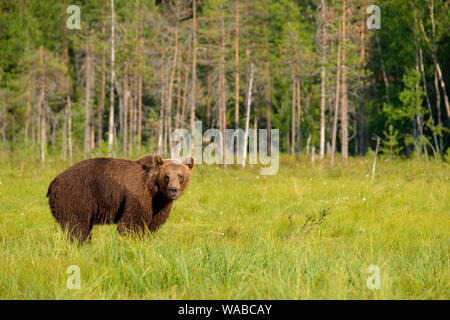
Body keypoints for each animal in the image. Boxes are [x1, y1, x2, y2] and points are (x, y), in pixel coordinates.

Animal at [46, 154, 193, 242]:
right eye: (167, 176)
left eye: (180, 176)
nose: (173, 190)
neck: (155, 192)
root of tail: (53, 181)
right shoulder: (137, 196)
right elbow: (131, 223)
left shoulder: (158, 207)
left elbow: (151, 225)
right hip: (75, 196)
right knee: (77, 225)